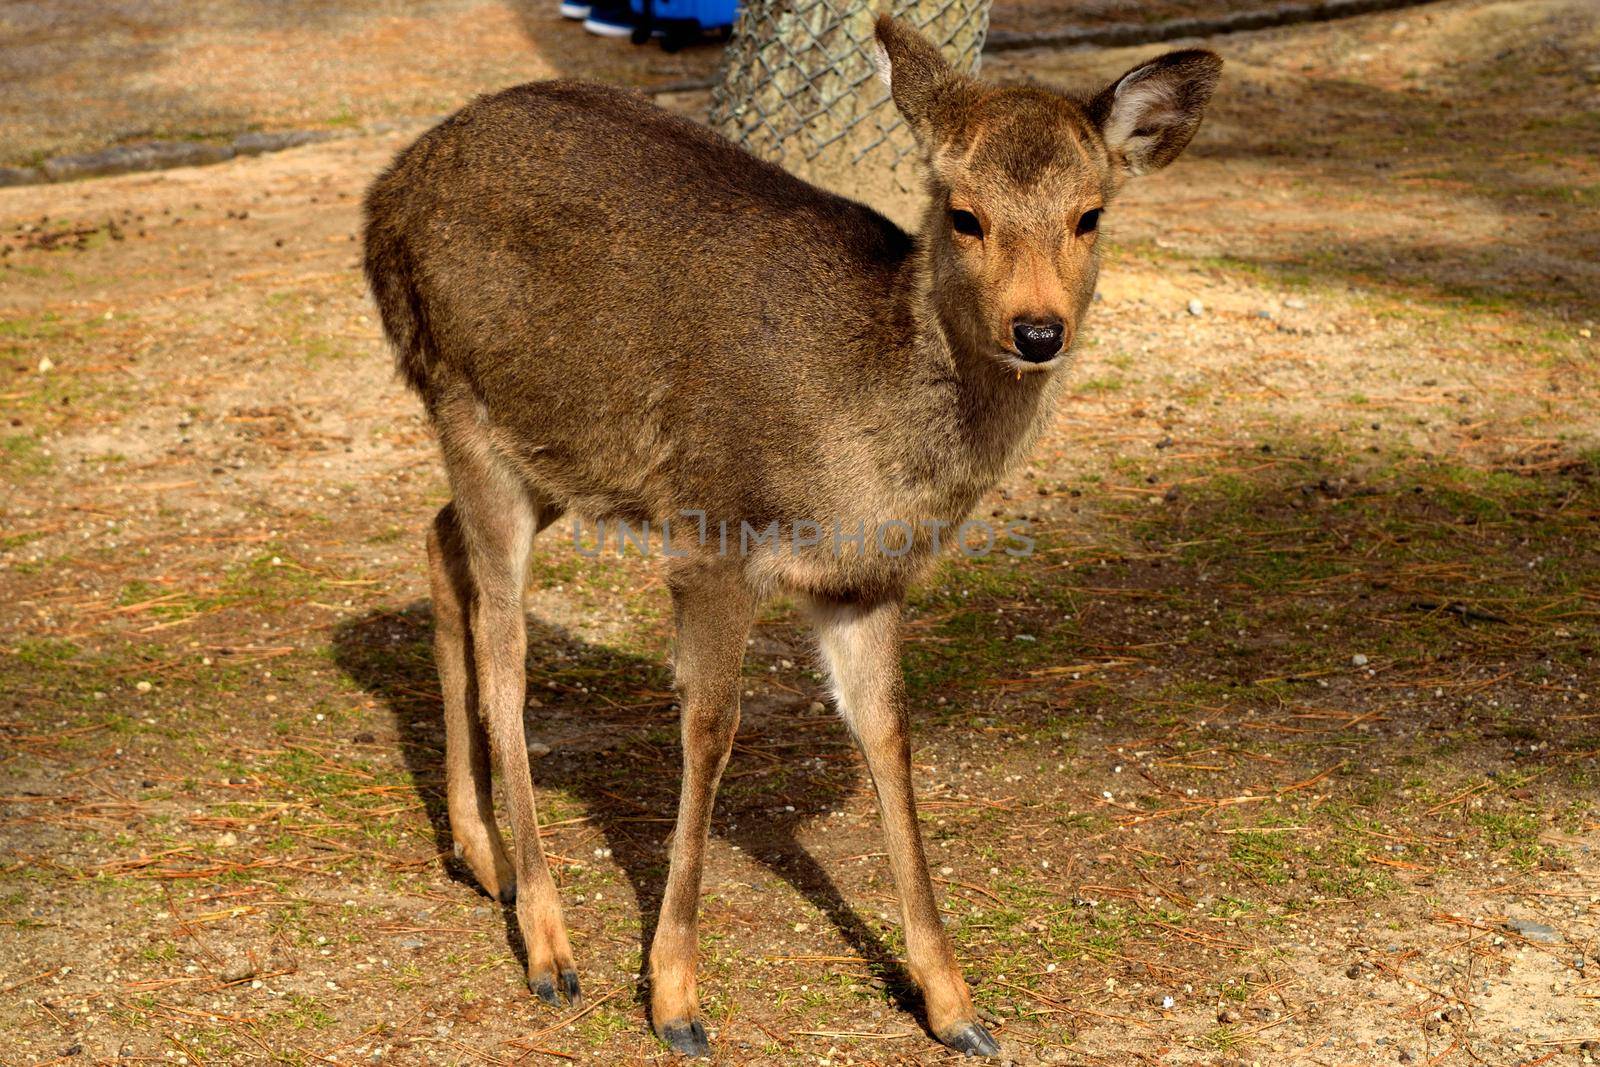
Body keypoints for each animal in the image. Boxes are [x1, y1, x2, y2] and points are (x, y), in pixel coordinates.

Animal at [360, 16, 1209, 1062]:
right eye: (964, 214)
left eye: (1091, 215)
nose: (1038, 329)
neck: (865, 459)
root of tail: (384, 197)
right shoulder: (715, 534)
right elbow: (712, 728)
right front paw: (676, 999)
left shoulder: (864, 581)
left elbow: (888, 735)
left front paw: (955, 1005)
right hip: (464, 400)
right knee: (505, 653)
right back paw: (550, 945)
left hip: (554, 452)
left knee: (439, 543)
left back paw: (482, 859)